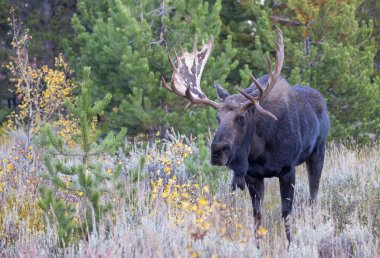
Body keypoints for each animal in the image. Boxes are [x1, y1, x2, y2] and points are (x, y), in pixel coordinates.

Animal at [160, 29, 330, 243]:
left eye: (241, 118)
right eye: (217, 117)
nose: (217, 151)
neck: (261, 149)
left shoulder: (287, 169)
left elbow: (286, 214)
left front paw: (291, 245)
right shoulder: (253, 175)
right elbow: (257, 217)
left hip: (318, 152)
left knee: (313, 197)